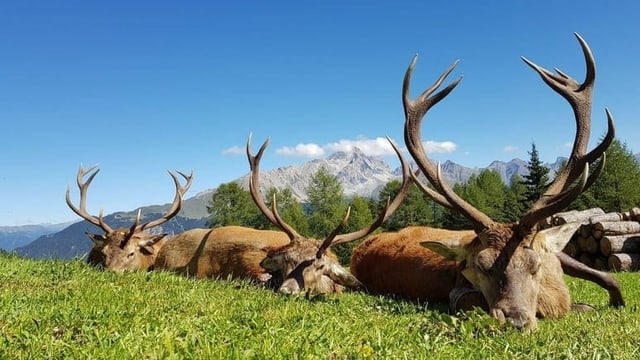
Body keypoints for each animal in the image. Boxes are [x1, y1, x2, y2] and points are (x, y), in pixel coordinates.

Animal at [348, 32, 624, 330]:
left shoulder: (556, 255)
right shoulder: (459, 291)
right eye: (480, 266)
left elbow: (612, 279)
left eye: (535, 265)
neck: (556, 295)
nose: (515, 320)